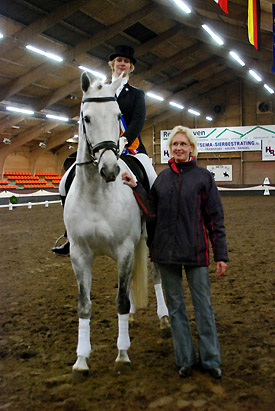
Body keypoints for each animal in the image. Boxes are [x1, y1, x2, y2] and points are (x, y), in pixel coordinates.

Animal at [64, 72, 169, 374]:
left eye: (118, 115)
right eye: (86, 118)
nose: (110, 169)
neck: (96, 194)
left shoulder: (124, 249)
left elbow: (120, 301)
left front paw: (122, 354)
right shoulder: (79, 254)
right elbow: (84, 304)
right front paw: (81, 359)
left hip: (149, 240)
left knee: (156, 275)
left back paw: (164, 319)